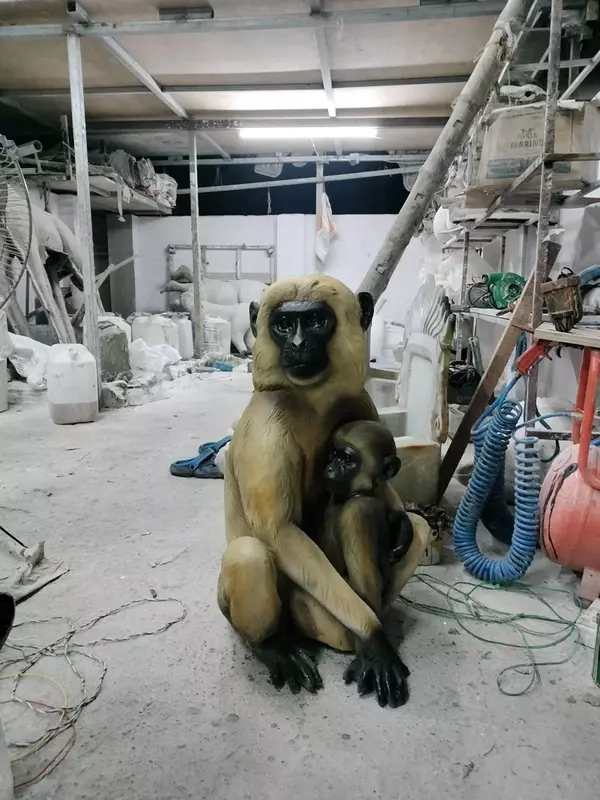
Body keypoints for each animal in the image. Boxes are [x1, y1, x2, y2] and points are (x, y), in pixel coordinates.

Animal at [319, 420, 415, 616]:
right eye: (334, 455)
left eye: (347, 460)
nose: (329, 468)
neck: (360, 493)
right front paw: (402, 524)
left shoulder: (359, 511)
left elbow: (365, 595)